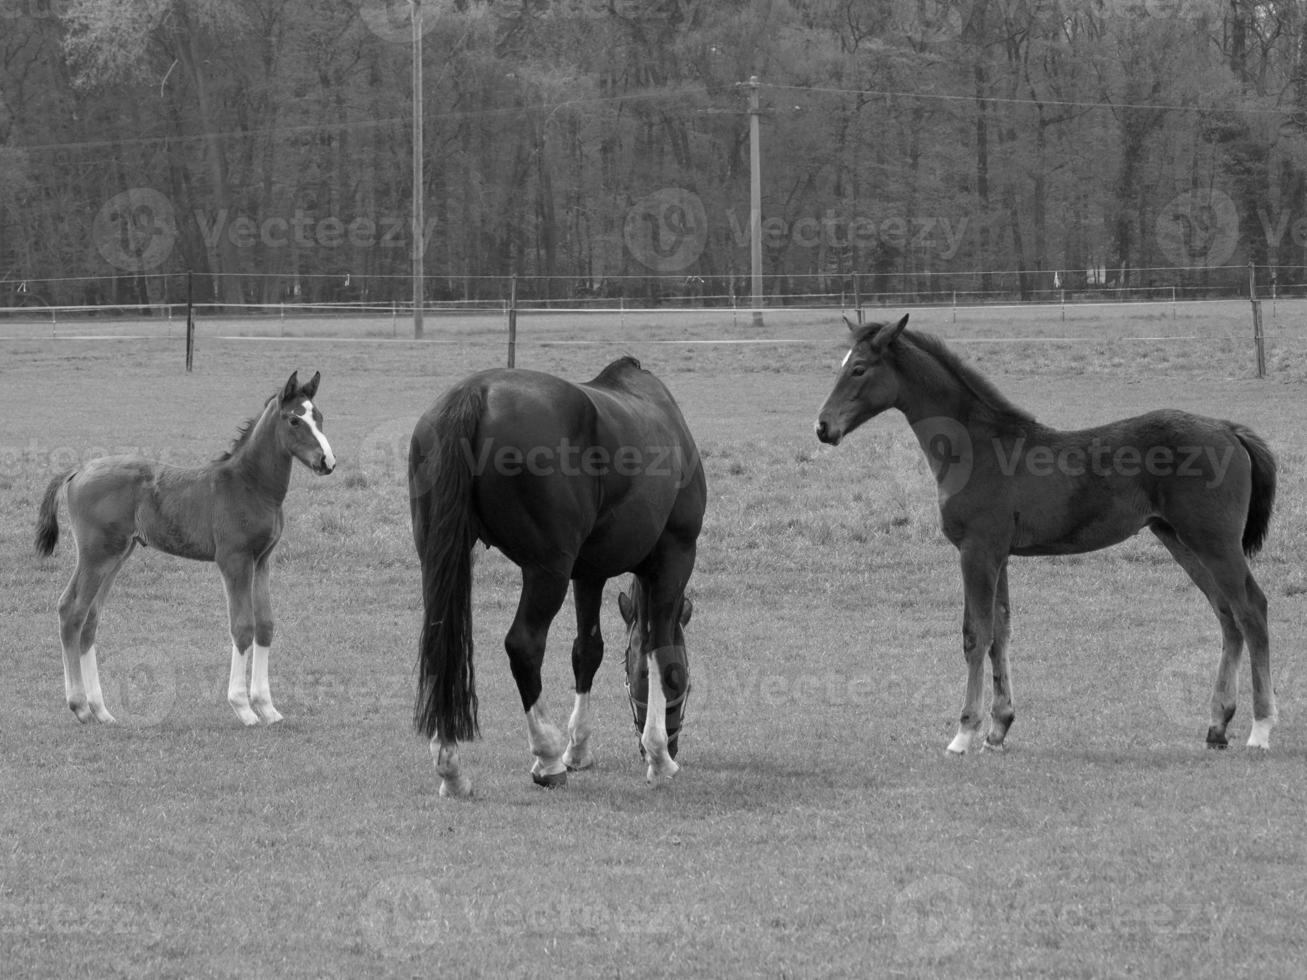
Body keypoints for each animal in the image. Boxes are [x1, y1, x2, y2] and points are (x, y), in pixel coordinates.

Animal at [36, 371, 337, 726]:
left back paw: (102, 711)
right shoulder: (234, 560)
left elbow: (265, 626)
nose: (327, 461)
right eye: (294, 420)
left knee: (90, 618)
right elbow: (242, 627)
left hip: (117, 555)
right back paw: (80, 706)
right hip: (97, 554)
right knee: (72, 610)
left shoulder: (262, 560)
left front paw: (267, 707)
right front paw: (243, 707)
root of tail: (77, 471)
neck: (249, 485)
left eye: (320, 417)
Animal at [413, 358, 711, 799]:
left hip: (438, 557)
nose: (673, 744)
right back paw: (547, 758)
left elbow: (587, 651)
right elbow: (659, 651)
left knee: (439, 642)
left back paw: (451, 768)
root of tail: (474, 393)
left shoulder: (589, 574)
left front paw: (580, 749)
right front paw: (658, 759)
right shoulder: (674, 557)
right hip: (546, 570)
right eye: (684, 686)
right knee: (524, 645)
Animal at [815, 318, 1275, 757]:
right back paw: (1217, 727)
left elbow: (974, 634)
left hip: (1215, 544)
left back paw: (1261, 730)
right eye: (842, 365)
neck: (978, 448)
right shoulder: (999, 555)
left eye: (859, 369)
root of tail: (1229, 429)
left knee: (1251, 609)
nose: (822, 427)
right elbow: (1000, 632)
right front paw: (998, 730)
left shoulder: (976, 551)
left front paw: (964, 733)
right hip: (1180, 540)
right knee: (1226, 615)